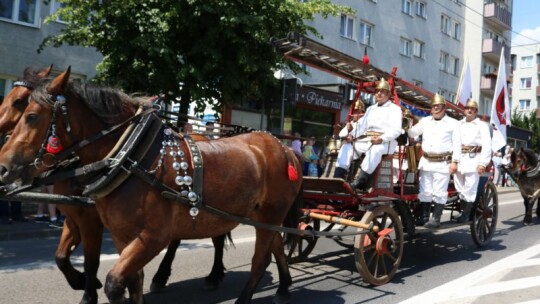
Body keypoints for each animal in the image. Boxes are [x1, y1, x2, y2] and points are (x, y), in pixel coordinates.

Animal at [0, 69, 302, 304]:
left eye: (30, 113)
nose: (3, 167)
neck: (129, 156)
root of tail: (284, 148)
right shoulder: (115, 232)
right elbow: (122, 277)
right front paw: (86, 283)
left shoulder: (148, 236)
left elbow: (108, 277)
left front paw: (89, 290)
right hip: (260, 215)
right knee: (273, 245)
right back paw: (283, 287)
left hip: (268, 214)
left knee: (260, 259)